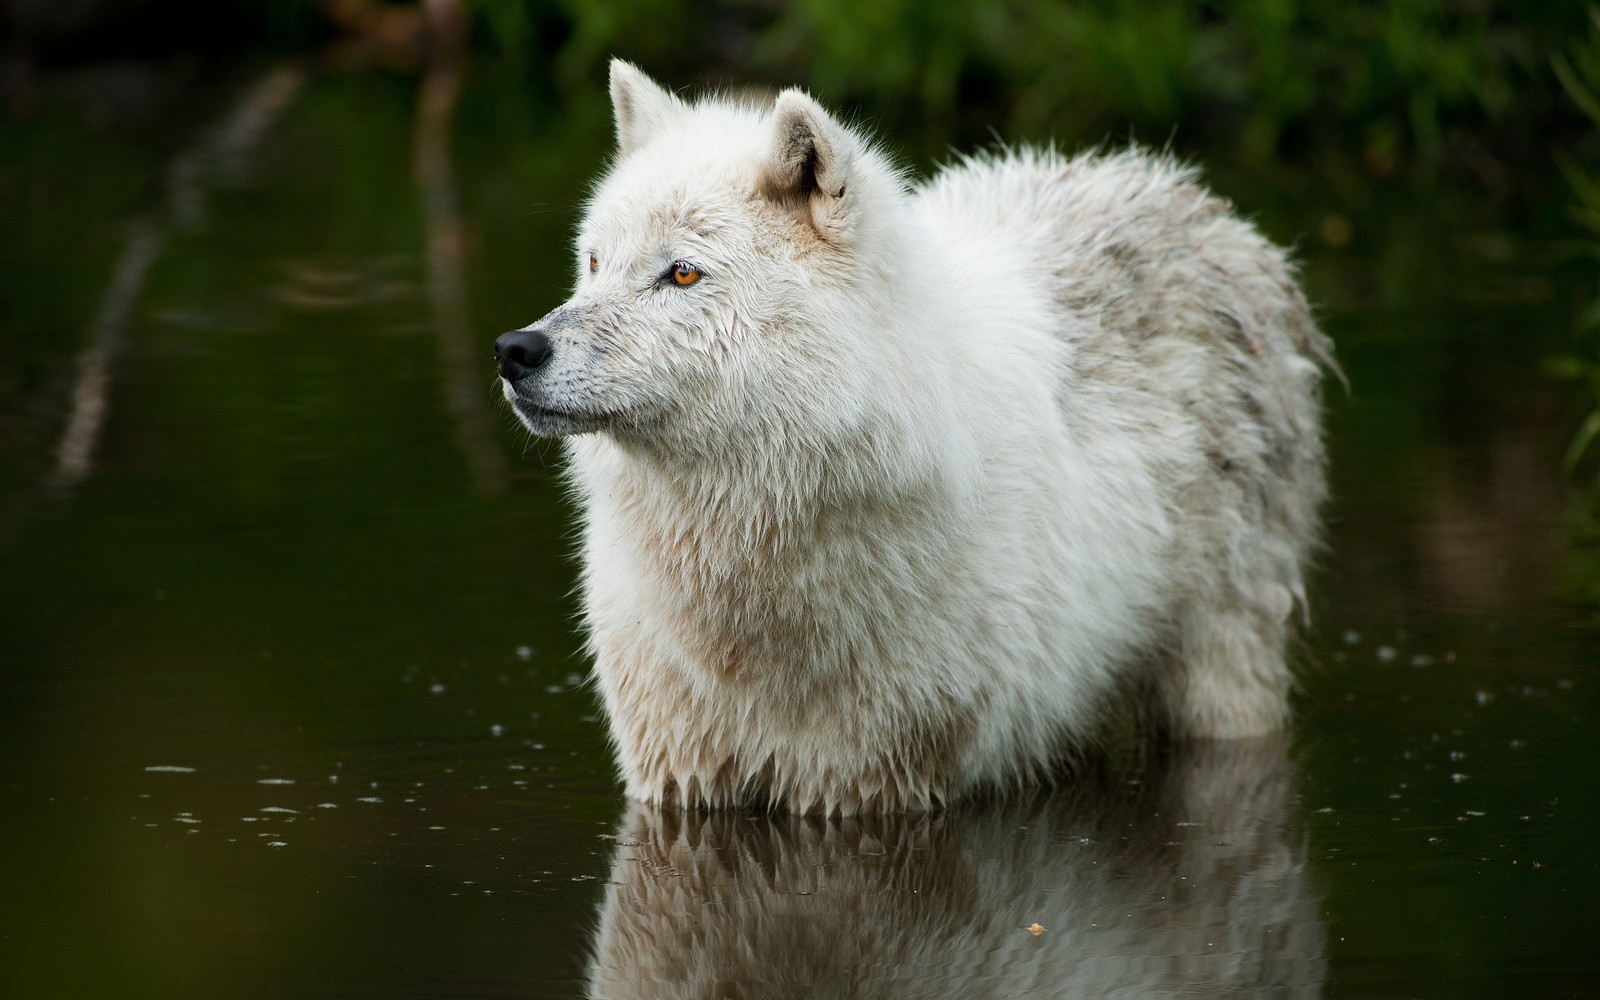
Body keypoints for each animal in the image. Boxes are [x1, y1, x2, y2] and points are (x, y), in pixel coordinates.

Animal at [492, 60, 1331, 812]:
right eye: (594, 262)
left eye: (683, 275)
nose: (516, 350)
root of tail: (1192, 197)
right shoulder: (676, 774)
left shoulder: (879, 782)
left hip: (1221, 679)